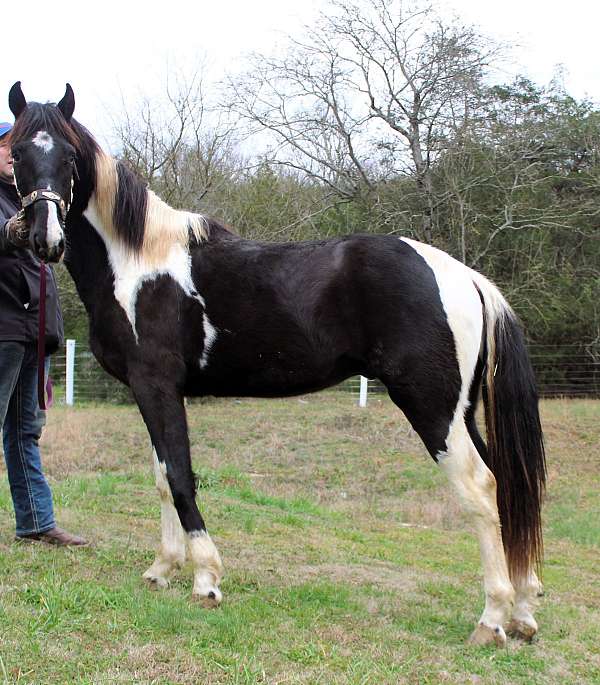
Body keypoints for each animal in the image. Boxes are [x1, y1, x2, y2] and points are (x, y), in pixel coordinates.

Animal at [7, 81, 548, 648]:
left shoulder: (155, 386)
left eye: (69, 157)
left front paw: (205, 579)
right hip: (460, 411)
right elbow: (161, 476)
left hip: (433, 409)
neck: (138, 263)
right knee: (506, 489)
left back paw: (492, 619)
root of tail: (464, 276)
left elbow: (179, 476)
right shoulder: (150, 391)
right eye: (18, 153)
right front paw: (162, 569)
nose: (45, 237)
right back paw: (523, 612)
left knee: (481, 489)